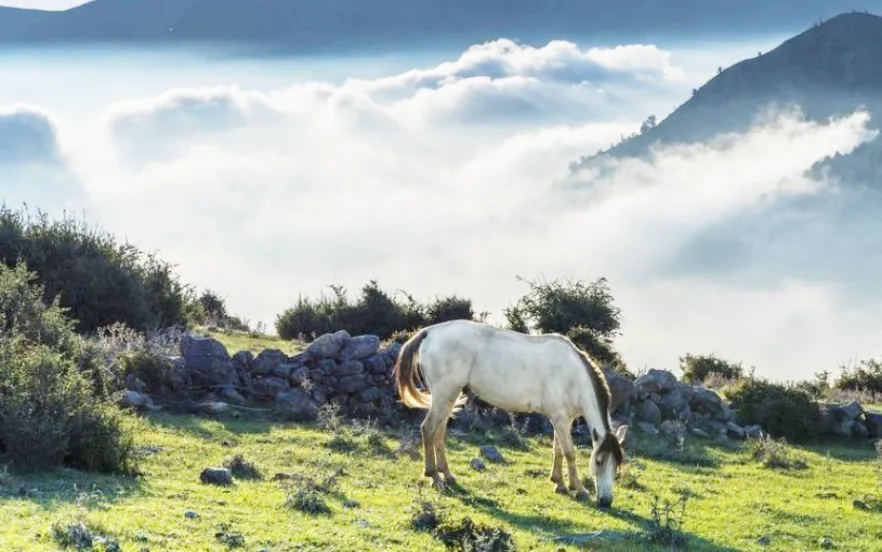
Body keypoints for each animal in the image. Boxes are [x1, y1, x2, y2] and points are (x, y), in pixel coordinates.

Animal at [392, 320, 624, 508]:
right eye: (599, 461)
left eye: (617, 465)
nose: (605, 501)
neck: (574, 376)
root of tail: (430, 332)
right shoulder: (560, 419)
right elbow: (569, 453)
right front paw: (579, 489)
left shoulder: (561, 419)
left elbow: (557, 450)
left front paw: (559, 483)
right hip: (444, 394)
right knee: (428, 429)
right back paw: (434, 477)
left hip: (447, 396)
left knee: (439, 433)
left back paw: (447, 476)